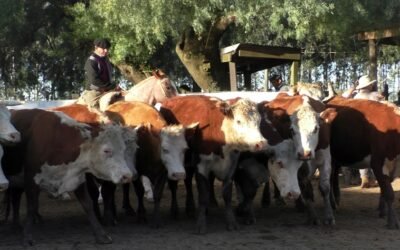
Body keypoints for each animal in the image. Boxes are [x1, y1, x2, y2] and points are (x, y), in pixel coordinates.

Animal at [1, 108, 133, 245]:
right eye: (106, 150)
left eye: (123, 149)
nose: (127, 175)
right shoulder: (31, 179)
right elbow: (31, 207)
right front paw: (27, 237)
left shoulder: (77, 178)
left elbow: (88, 205)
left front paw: (101, 235)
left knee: (15, 198)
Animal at [158, 95, 268, 234]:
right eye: (238, 121)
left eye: (259, 121)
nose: (261, 143)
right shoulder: (200, 166)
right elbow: (203, 195)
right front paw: (201, 224)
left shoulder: (231, 166)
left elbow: (227, 195)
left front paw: (231, 222)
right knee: (174, 186)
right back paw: (175, 211)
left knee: (188, 181)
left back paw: (192, 208)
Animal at [262, 93, 338, 225]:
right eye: (292, 130)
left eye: (316, 128)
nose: (305, 153)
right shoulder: (300, 165)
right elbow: (305, 189)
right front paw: (312, 216)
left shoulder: (325, 158)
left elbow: (325, 187)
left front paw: (329, 216)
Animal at [328, 95, 400, 229]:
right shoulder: (377, 163)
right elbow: (389, 193)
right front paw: (392, 221)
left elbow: (384, 190)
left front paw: (382, 211)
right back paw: (333, 203)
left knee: (333, 176)